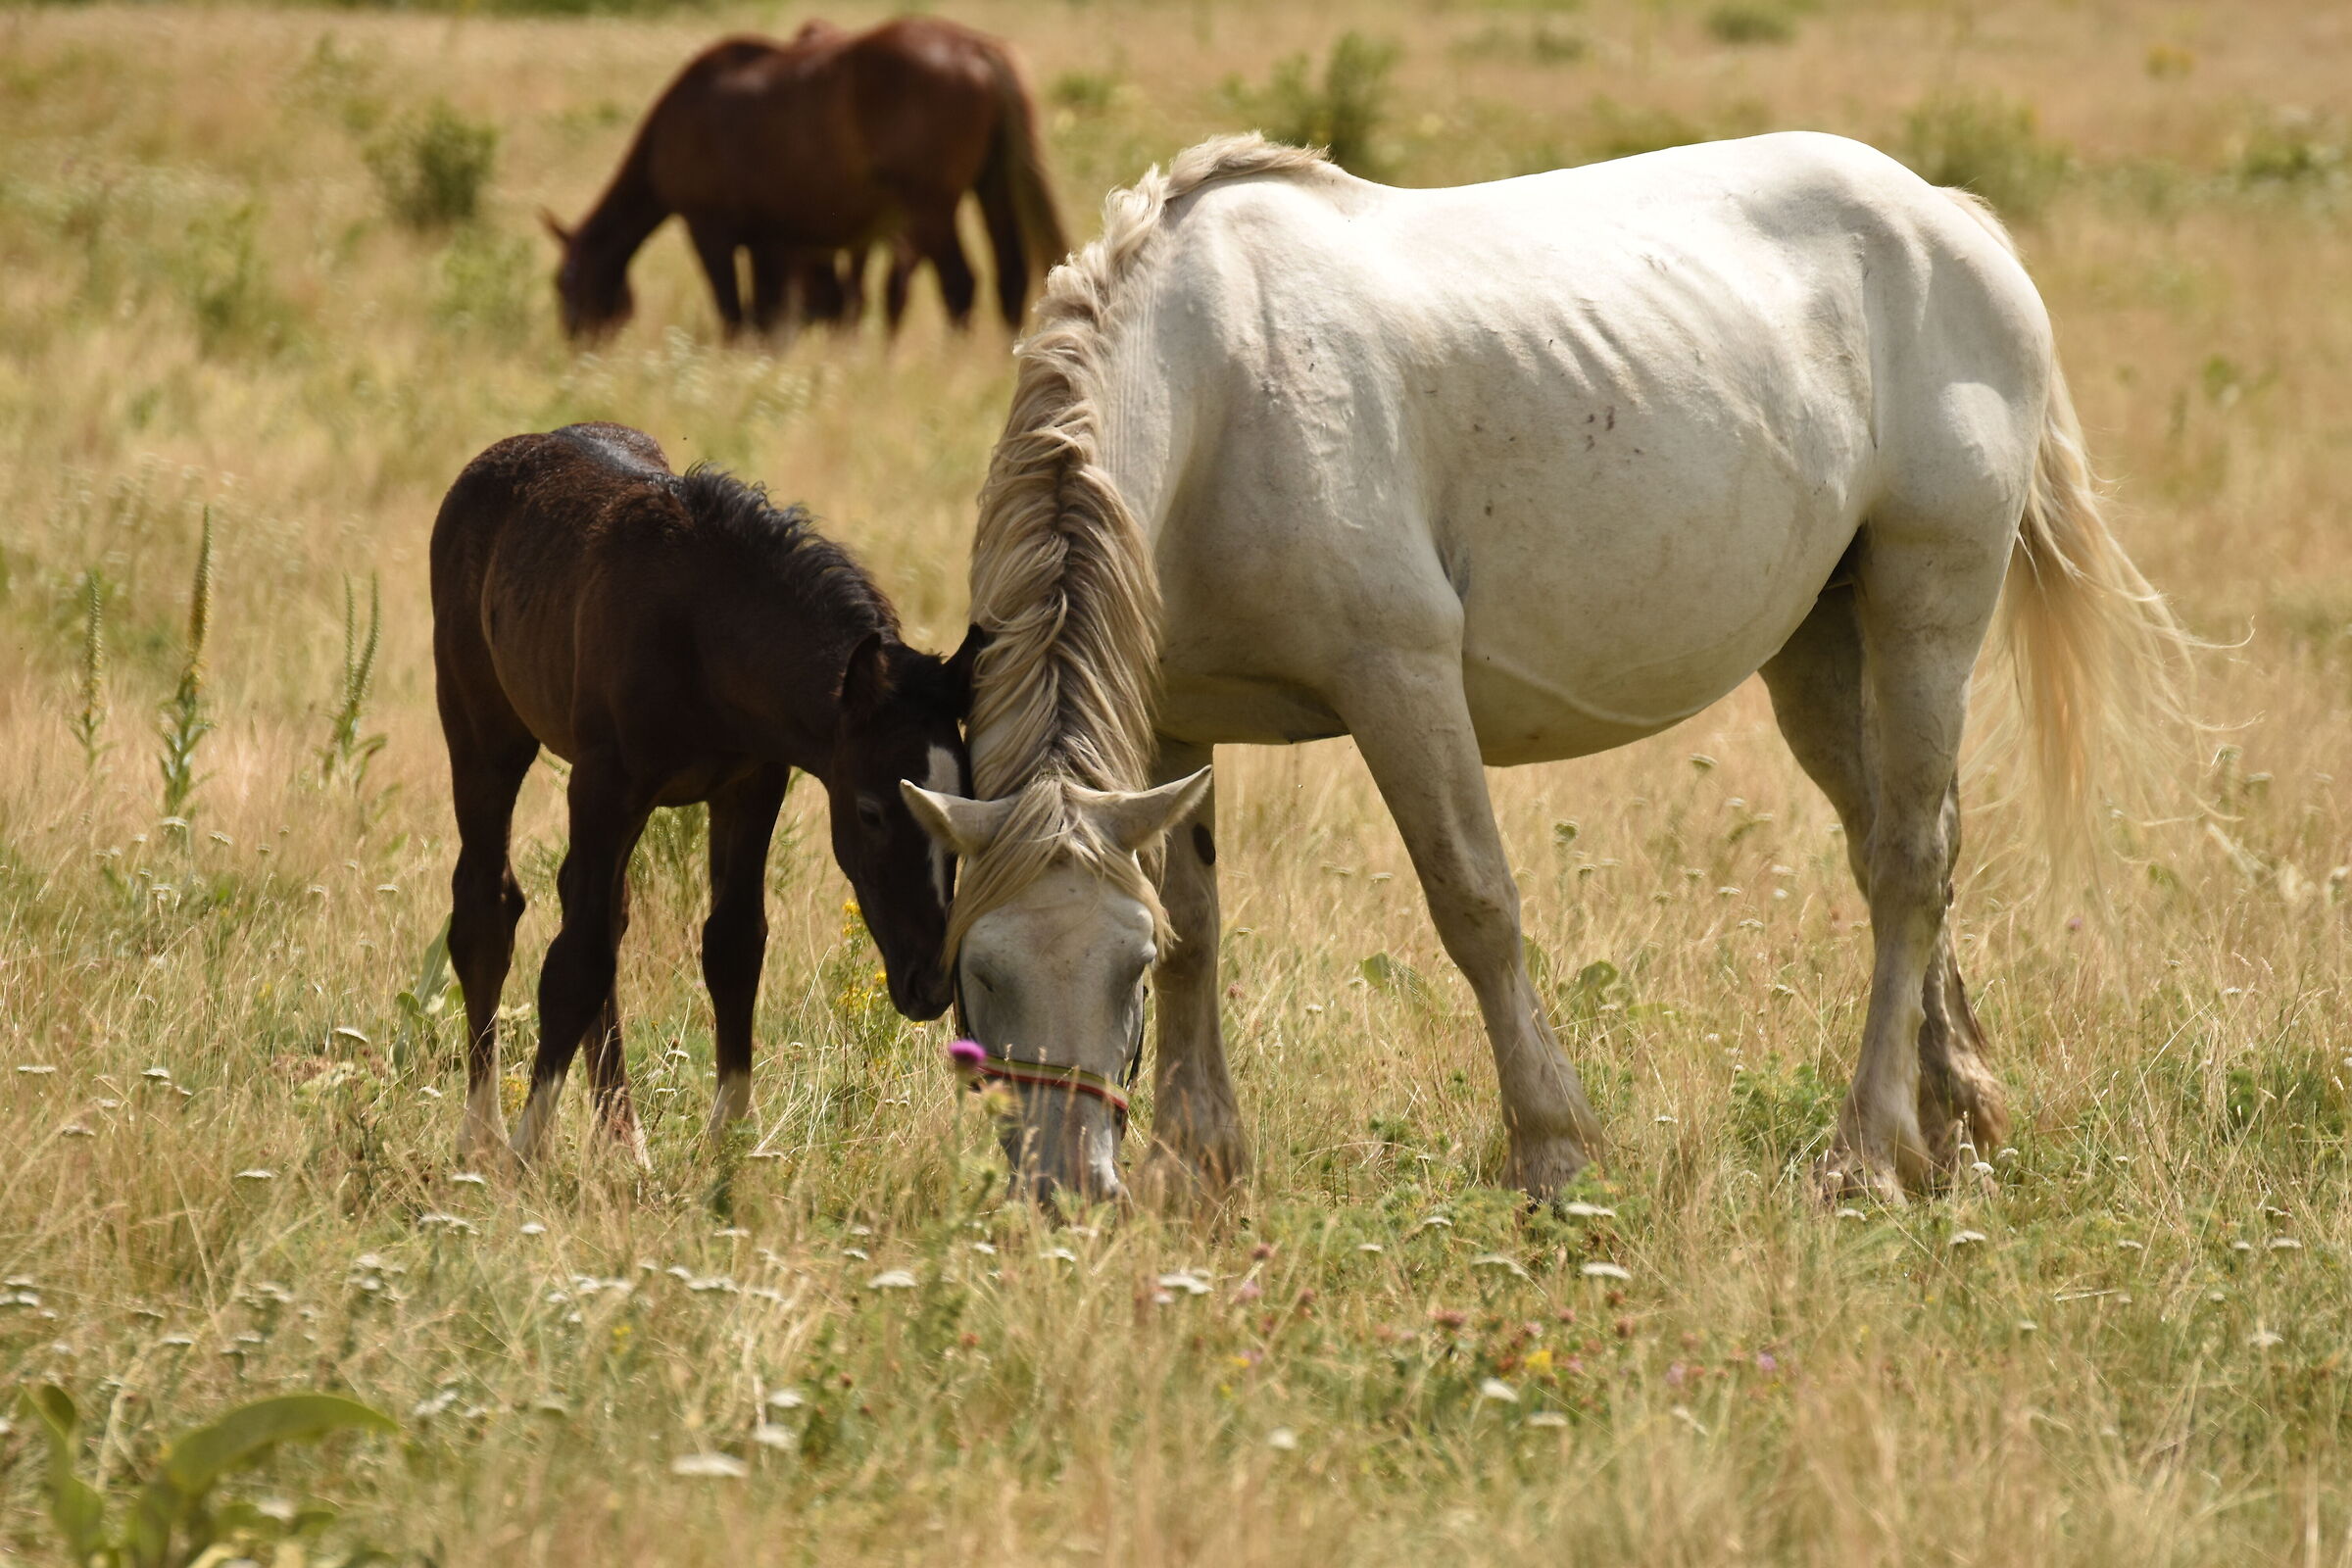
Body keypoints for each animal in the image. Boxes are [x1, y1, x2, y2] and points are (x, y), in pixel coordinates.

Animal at [432, 422, 983, 1171]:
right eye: (871, 812)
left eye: (965, 802)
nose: (928, 984)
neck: (703, 632)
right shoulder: (604, 784)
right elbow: (574, 964)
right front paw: (525, 1151)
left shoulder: (752, 785)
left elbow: (733, 945)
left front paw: (729, 1140)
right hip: (484, 735)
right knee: (488, 907)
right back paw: (481, 1135)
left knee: (601, 913)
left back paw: (623, 1138)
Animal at [543, 18, 1067, 341]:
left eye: (564, 283)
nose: (575, 343)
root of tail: (974, 46)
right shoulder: (769, 241)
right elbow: (767, 317)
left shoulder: (709, 231)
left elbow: (734, 313)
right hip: (992, 189)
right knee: (1010, 278)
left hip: (931, 207)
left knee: (960, 286)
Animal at [902, 132, 2192, 1208]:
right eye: (978, 972)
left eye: (1117, 969)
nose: (1065, 1189)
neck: (1218, 380)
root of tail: (1949, 218)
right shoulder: (1174, 722)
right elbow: (1202, 923)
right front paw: (1202, 1162)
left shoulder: (1402, 680)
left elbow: (1475, 906)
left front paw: (1553, 1149)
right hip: (1823, 651)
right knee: (1897, 856)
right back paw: (1953, 1119)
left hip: (1932, 603)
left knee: (1913, 864)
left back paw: (1866, 1155)